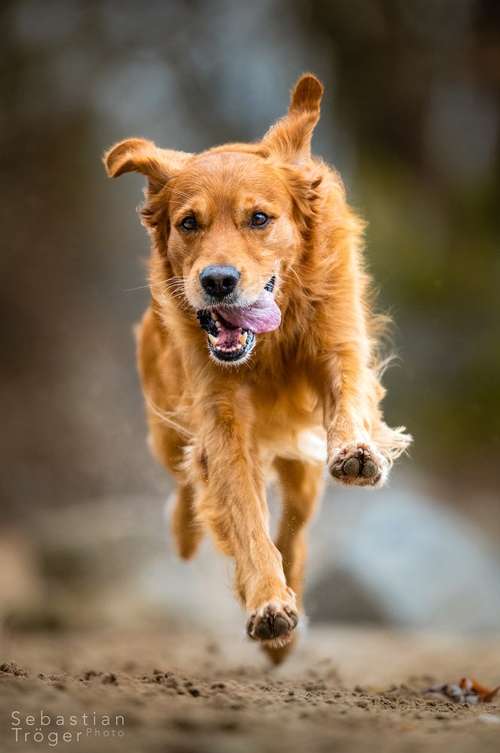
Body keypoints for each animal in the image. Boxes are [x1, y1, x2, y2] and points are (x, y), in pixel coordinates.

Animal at [102, 73, 410, 660]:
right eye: (189, 223)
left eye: (259, 218)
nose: (218, 280)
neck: (270, 345)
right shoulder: (220, 418)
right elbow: (241, 511)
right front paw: (268, 602)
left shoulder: (339, 344)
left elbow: (349, 397)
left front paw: (359, 449)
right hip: (164, 425)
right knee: (188, 481)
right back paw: (185, 532)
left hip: (302, 468)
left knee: (295, 528)